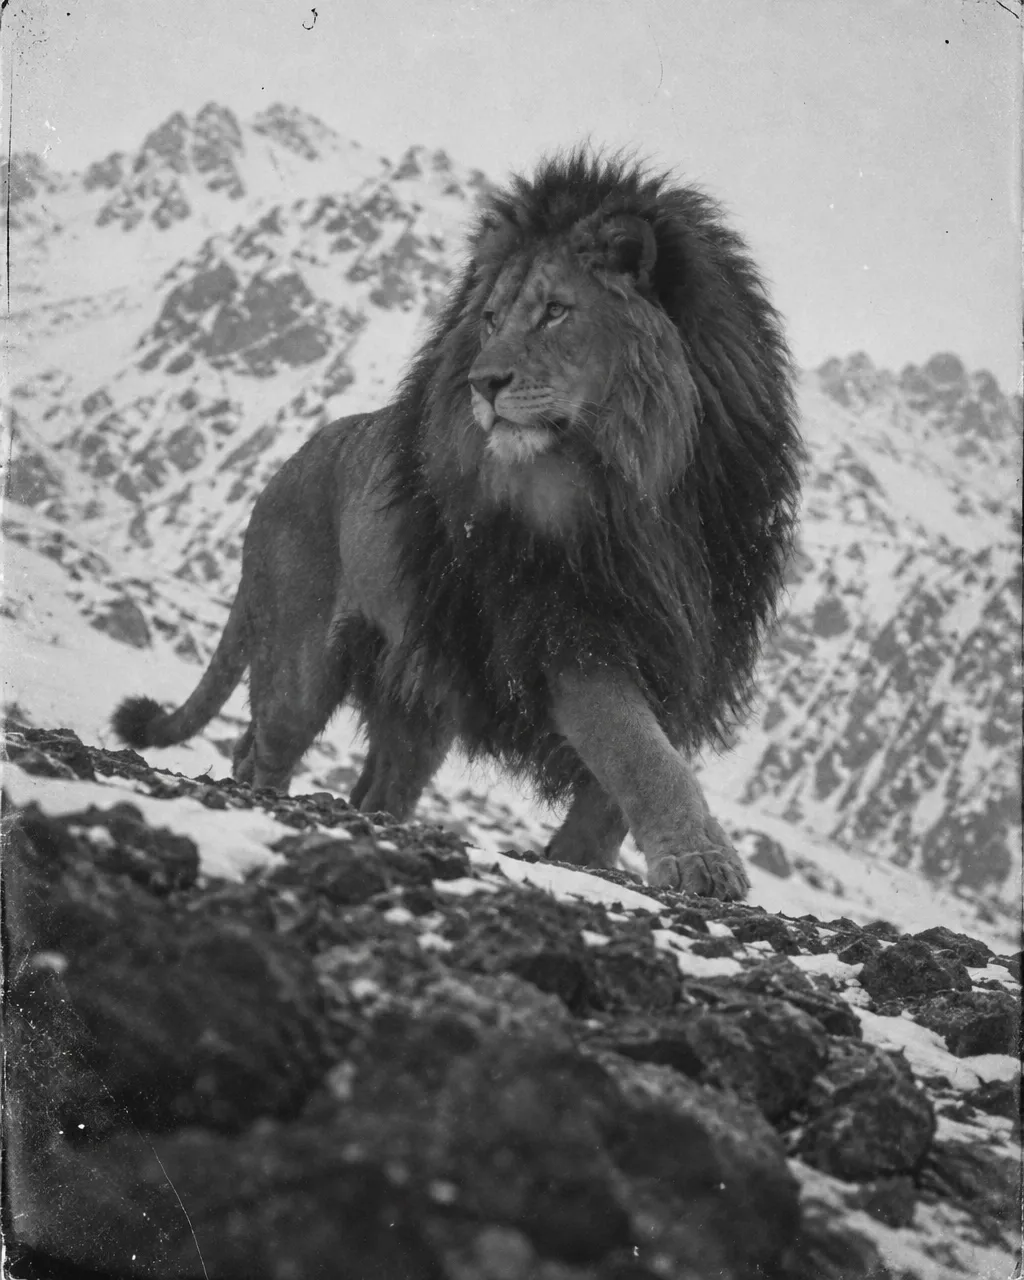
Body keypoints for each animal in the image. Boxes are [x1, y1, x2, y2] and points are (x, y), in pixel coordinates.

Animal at [113, 150, 802, 900]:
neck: (639, 484)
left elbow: (618, 786)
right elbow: (636, 749)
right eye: (493, 318)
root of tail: (284, 468)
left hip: (419, 697)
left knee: (380, 785)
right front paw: (700, 859)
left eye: (556, 312)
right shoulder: (564, 627)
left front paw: (584, 856)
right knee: (260, 745)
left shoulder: (685, 647)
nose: (483, 383)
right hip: (301, 657)